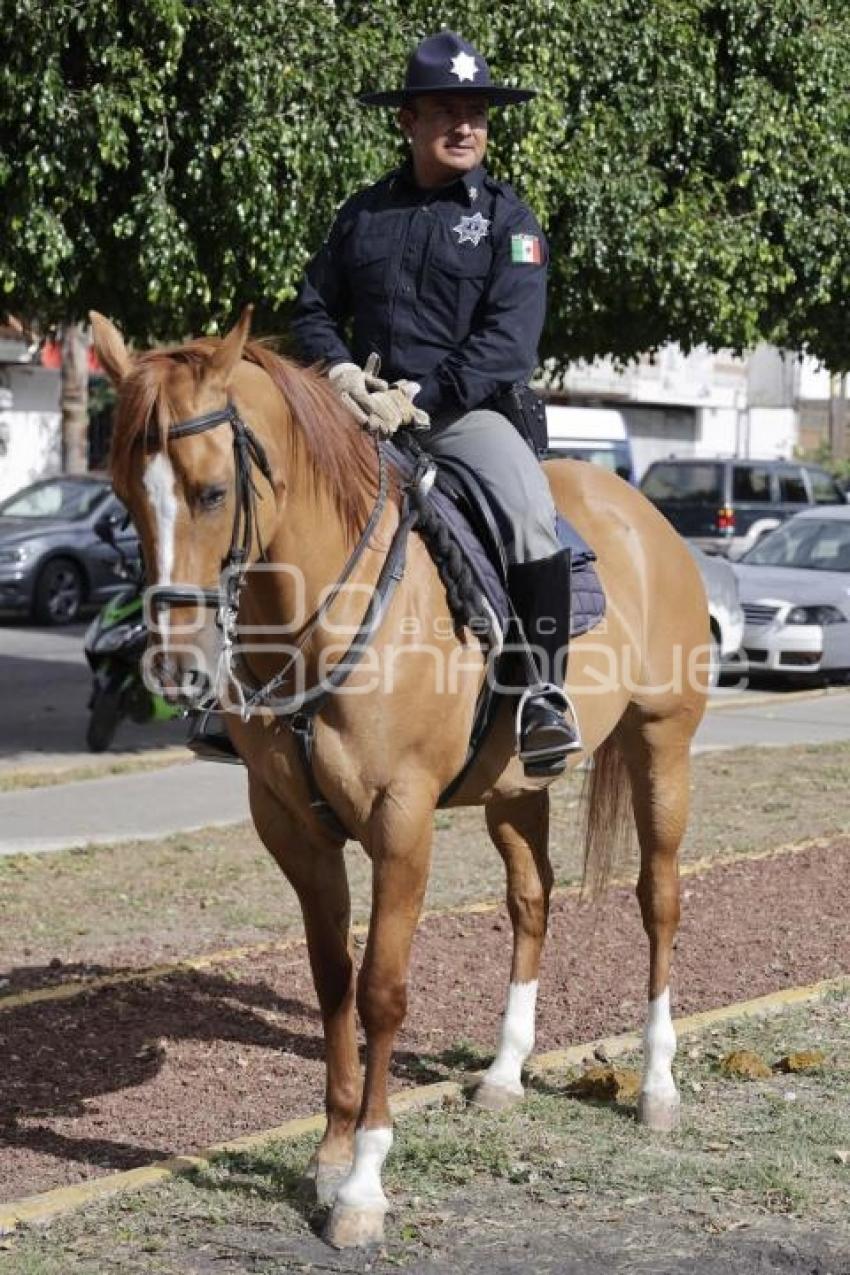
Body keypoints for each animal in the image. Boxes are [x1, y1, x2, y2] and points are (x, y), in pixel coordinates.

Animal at [91, 308, 713, 1244]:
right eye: (127, 498)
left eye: (211, 493)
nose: (175, 667)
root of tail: (644, 513)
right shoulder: (292, 826)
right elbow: (331, 982)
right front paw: (327, 1152)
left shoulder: (401, 821)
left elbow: (382, 991)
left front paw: (362, 1185)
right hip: (514, 788)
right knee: (532, 899)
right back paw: (505, 1071)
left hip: (661, 750)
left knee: (659, 899)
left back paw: (657, 1084)